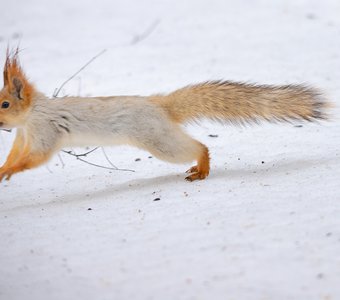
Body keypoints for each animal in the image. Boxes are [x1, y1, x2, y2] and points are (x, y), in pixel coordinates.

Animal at [0, 49, 330, 182]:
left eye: (4, 104)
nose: (0, 122)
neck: (31, 116)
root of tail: (160, 105)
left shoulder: (45, 130)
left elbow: (37, 158)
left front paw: (9, 172)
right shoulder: (23, 136)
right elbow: (18, 153)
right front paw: (5, 167)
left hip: (158, 141)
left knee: (198, 146)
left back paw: (202, 167)